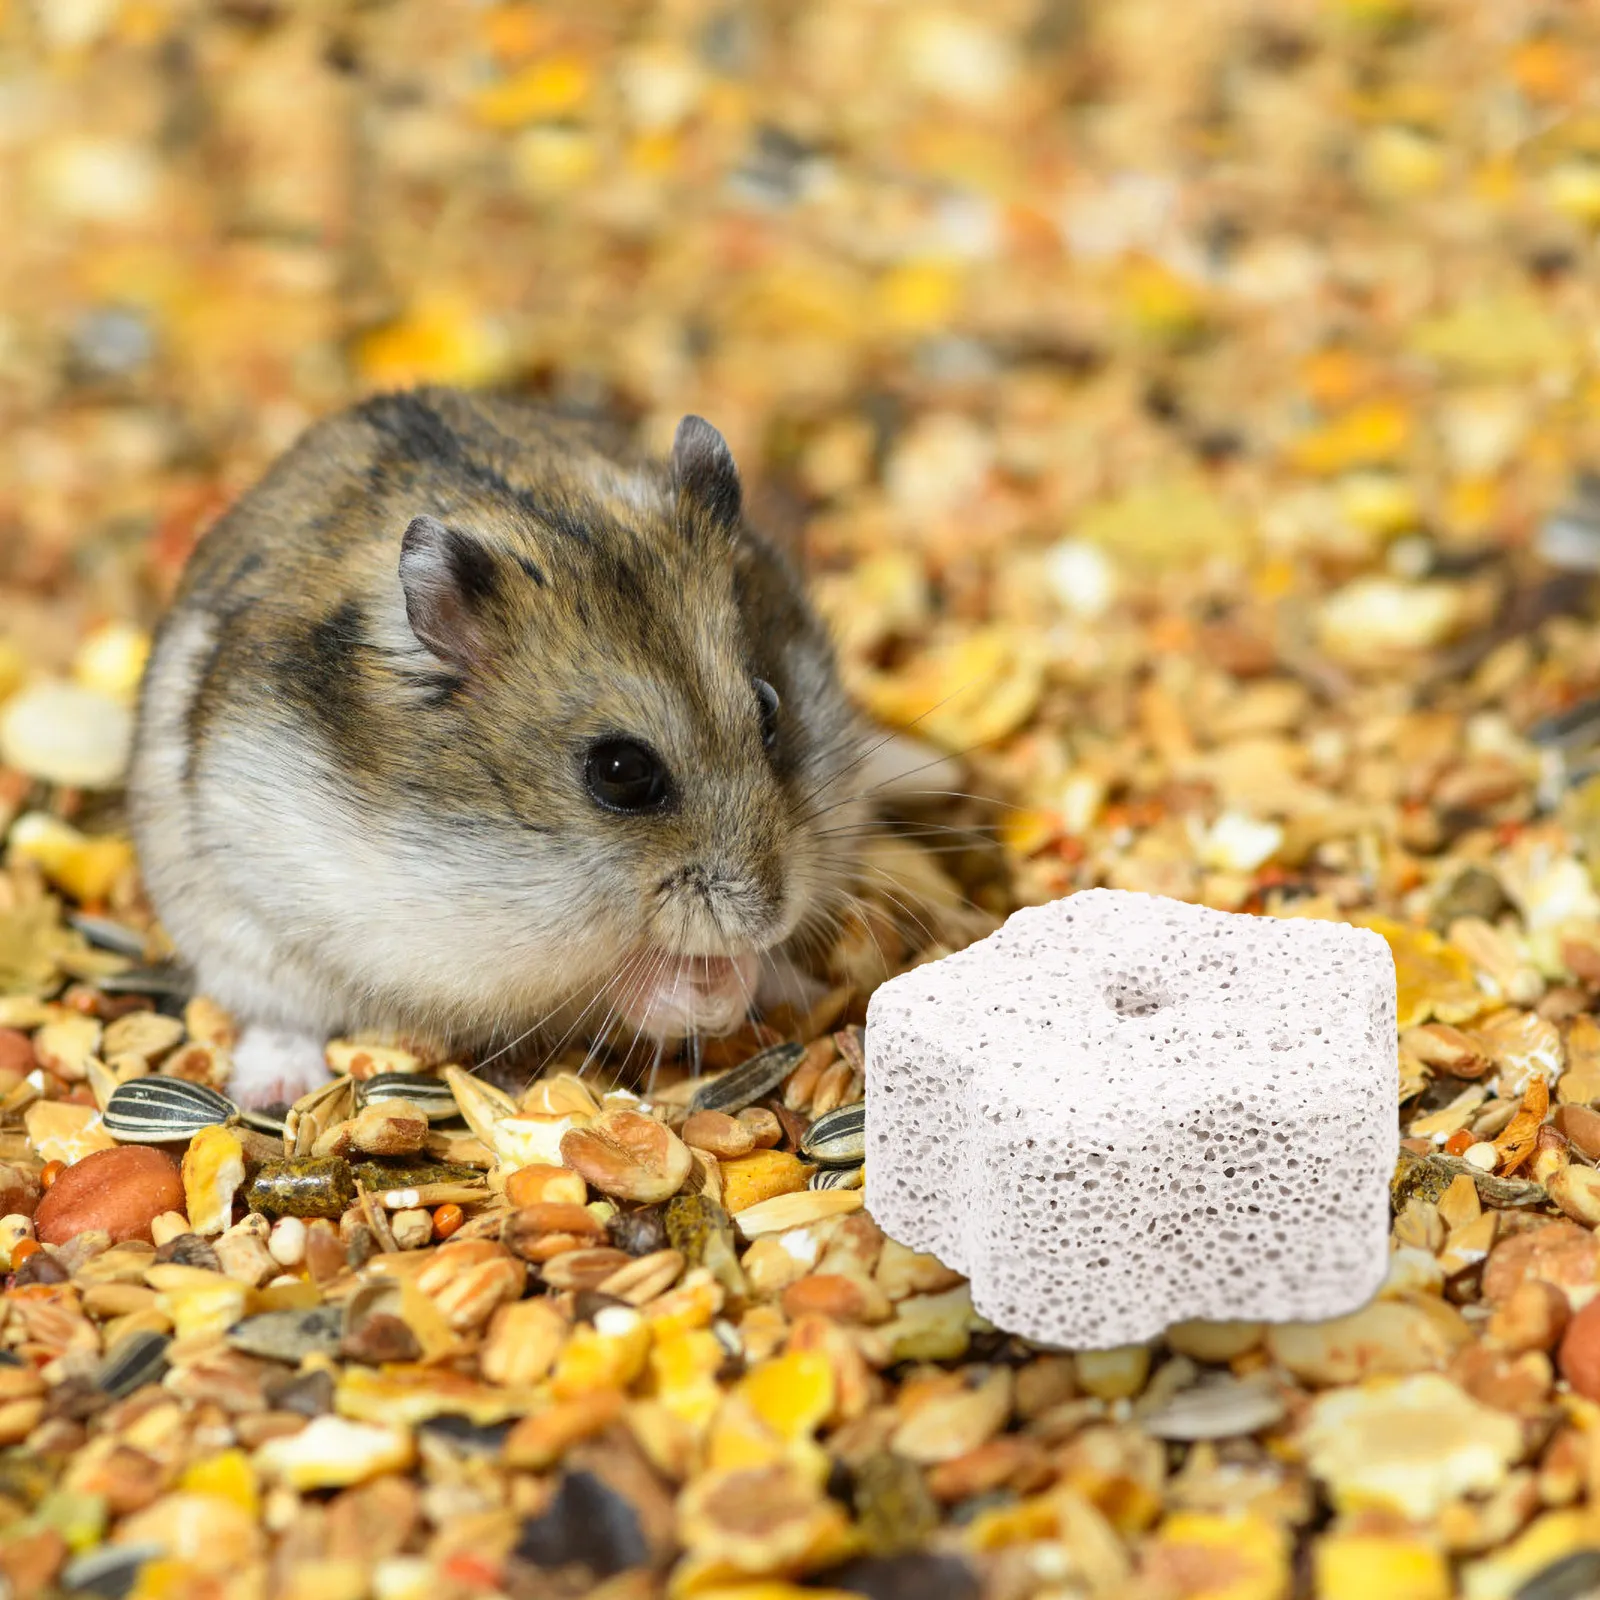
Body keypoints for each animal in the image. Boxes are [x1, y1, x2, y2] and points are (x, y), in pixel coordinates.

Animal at [129, 386, 919, 1109]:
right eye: (622, 773)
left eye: (769, 709)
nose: (771, 915)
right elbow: (615, 980)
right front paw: (709, 988)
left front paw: (750, 970)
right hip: (238, 938)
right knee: (277, 1017)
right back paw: (276, 1090)